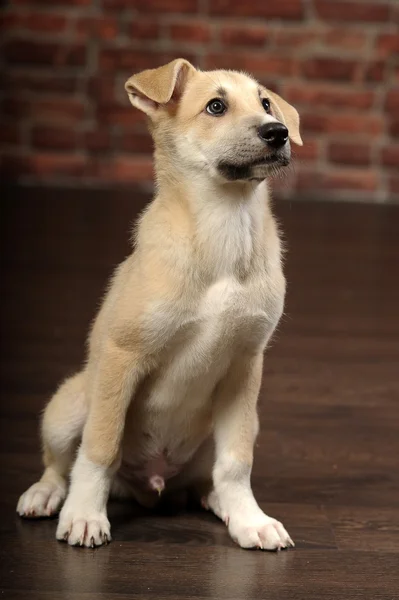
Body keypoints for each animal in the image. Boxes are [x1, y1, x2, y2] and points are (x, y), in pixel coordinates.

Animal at [16, 58, 304, 552]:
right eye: (215, 106)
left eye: (266, 103)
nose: (278, 131)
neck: (222, 225)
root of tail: (151, 487)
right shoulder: (122, 357)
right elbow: (100, 448)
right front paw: (84, 516)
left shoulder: (245, 366)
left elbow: (236, 461)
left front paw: (251, 520)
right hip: (68, 405)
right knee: (61, 461)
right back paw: (47, 494)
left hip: (242, 424)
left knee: (208, 478)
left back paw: (221, 503)